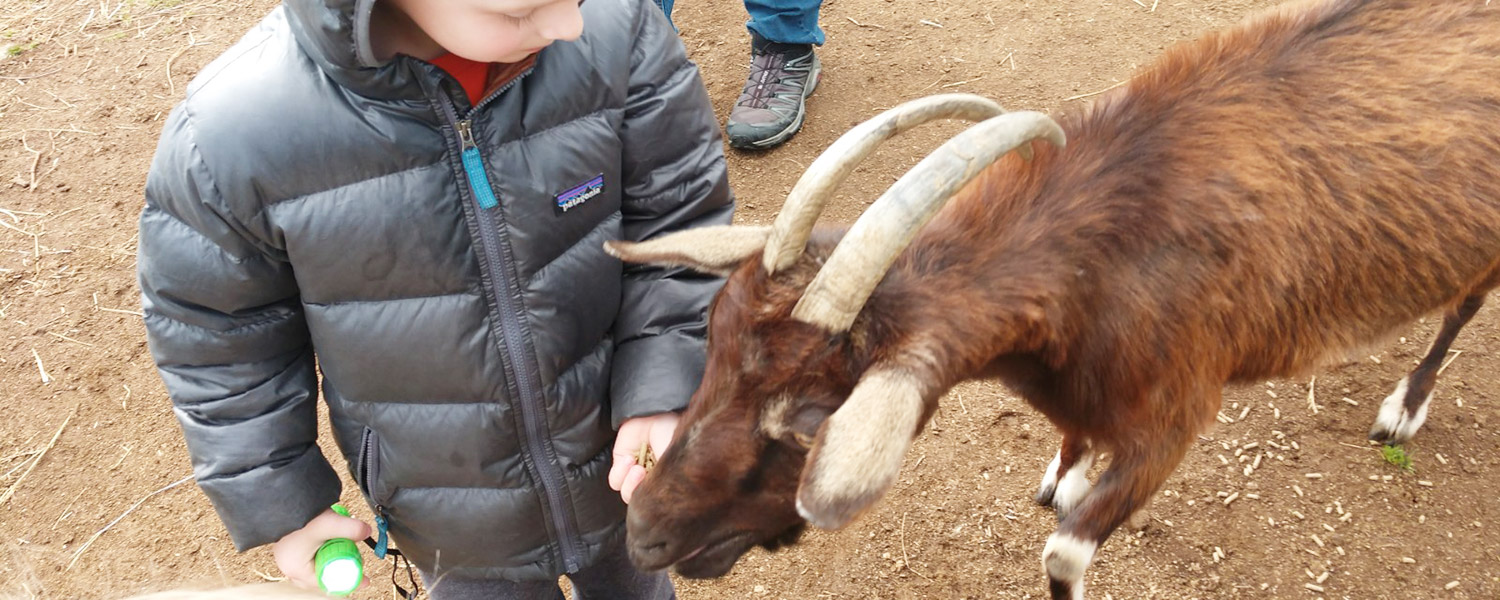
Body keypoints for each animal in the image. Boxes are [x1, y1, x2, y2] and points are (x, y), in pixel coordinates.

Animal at [603, 2, 1494, 597]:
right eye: (712, 341)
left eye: (815, 417)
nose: (642, 534)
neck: (1104, 261)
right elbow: (1067, 447)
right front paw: (1063, 470)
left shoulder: (1173, 422)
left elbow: (1063, 554)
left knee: (1464, 305)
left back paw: (1404, 408)